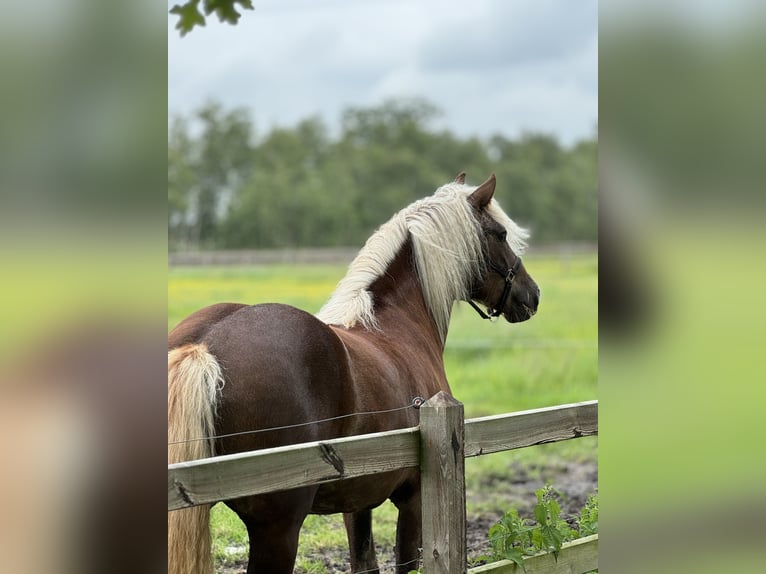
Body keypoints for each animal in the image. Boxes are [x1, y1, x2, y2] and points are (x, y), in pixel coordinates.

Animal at [168, 173, 540, 572]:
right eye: (499, 234)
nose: (532, 294)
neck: (397, 321)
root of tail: (204, 346)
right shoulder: (413, 496)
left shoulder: (358, 498)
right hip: (278, 529)